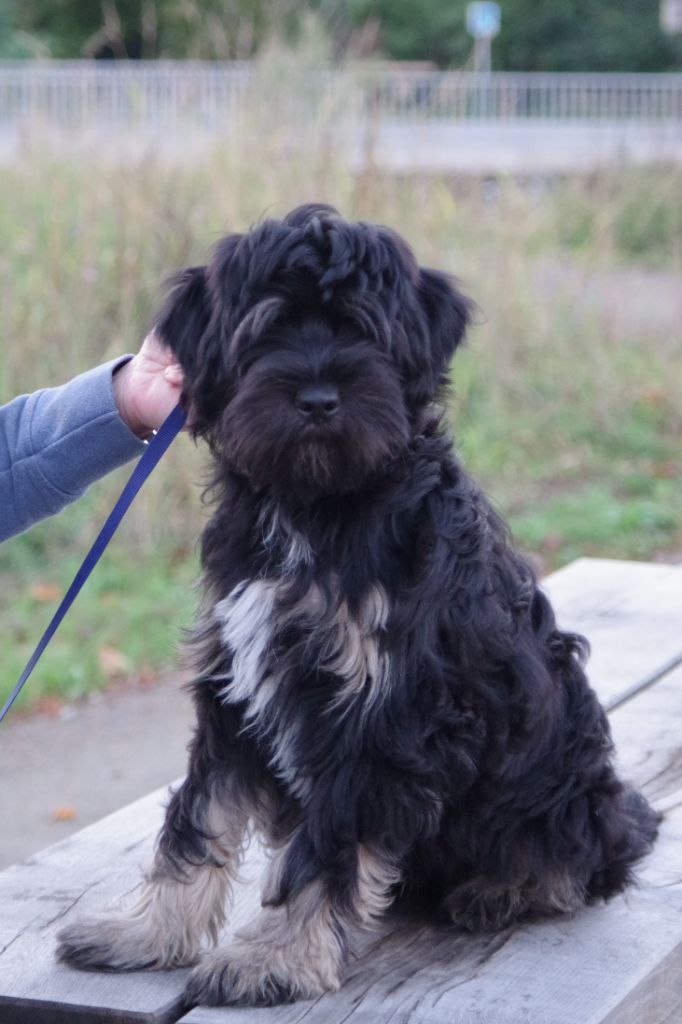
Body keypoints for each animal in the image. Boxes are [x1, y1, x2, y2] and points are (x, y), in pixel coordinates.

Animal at [57, 204, 659, 1006]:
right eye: (269, 330)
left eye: (364, 332)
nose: (318, 399)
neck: (318, 503)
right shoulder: (235, 683)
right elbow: (197, 816)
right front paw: (146, 934)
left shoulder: (384, 711)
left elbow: (329, 842)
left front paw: (271, 960)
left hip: (566, 790)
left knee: (583, 857)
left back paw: (504, 887)